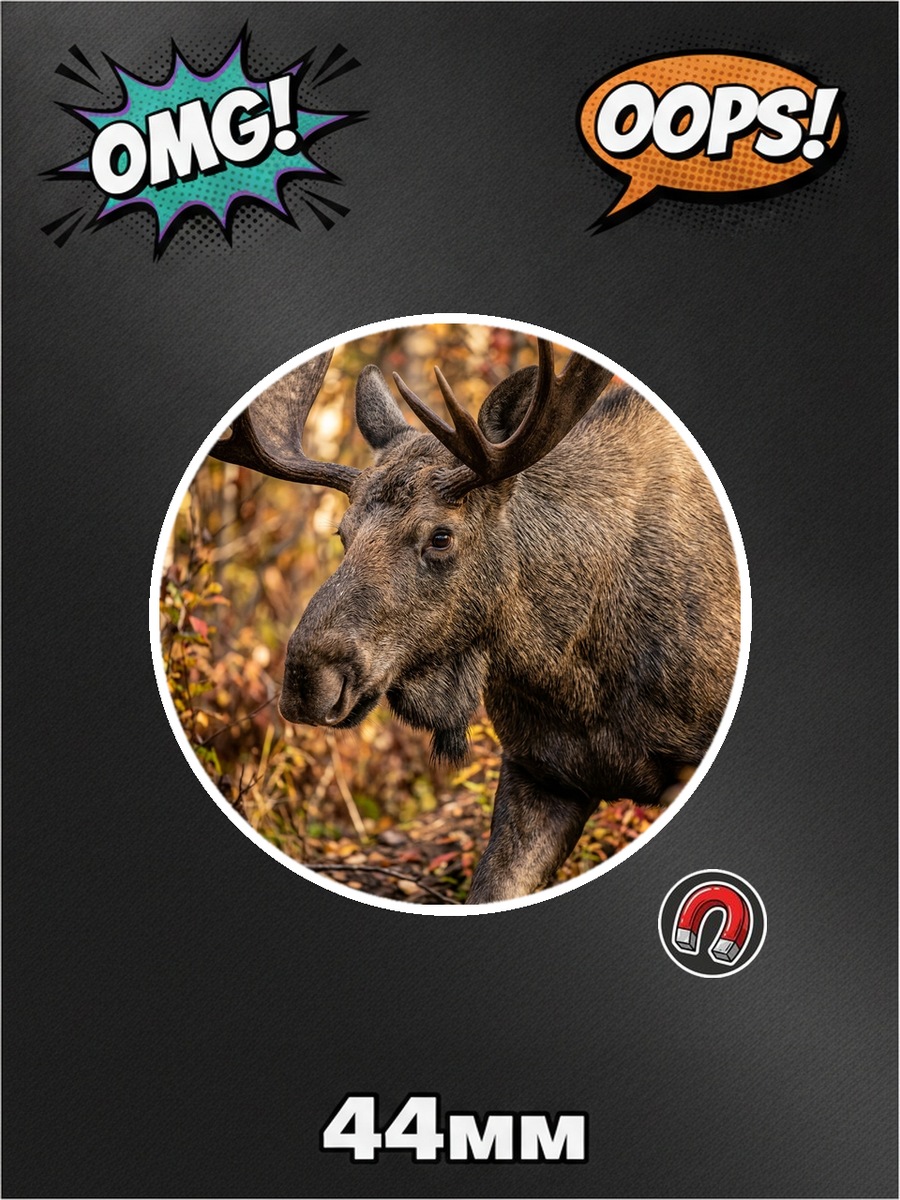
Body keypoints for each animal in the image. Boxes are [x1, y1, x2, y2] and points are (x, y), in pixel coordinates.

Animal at [211, 336, 740, 903]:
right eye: (342, 533)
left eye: (441, 536)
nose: (306, 680)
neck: (577, 678)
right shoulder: (538, 771)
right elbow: (489, 888)